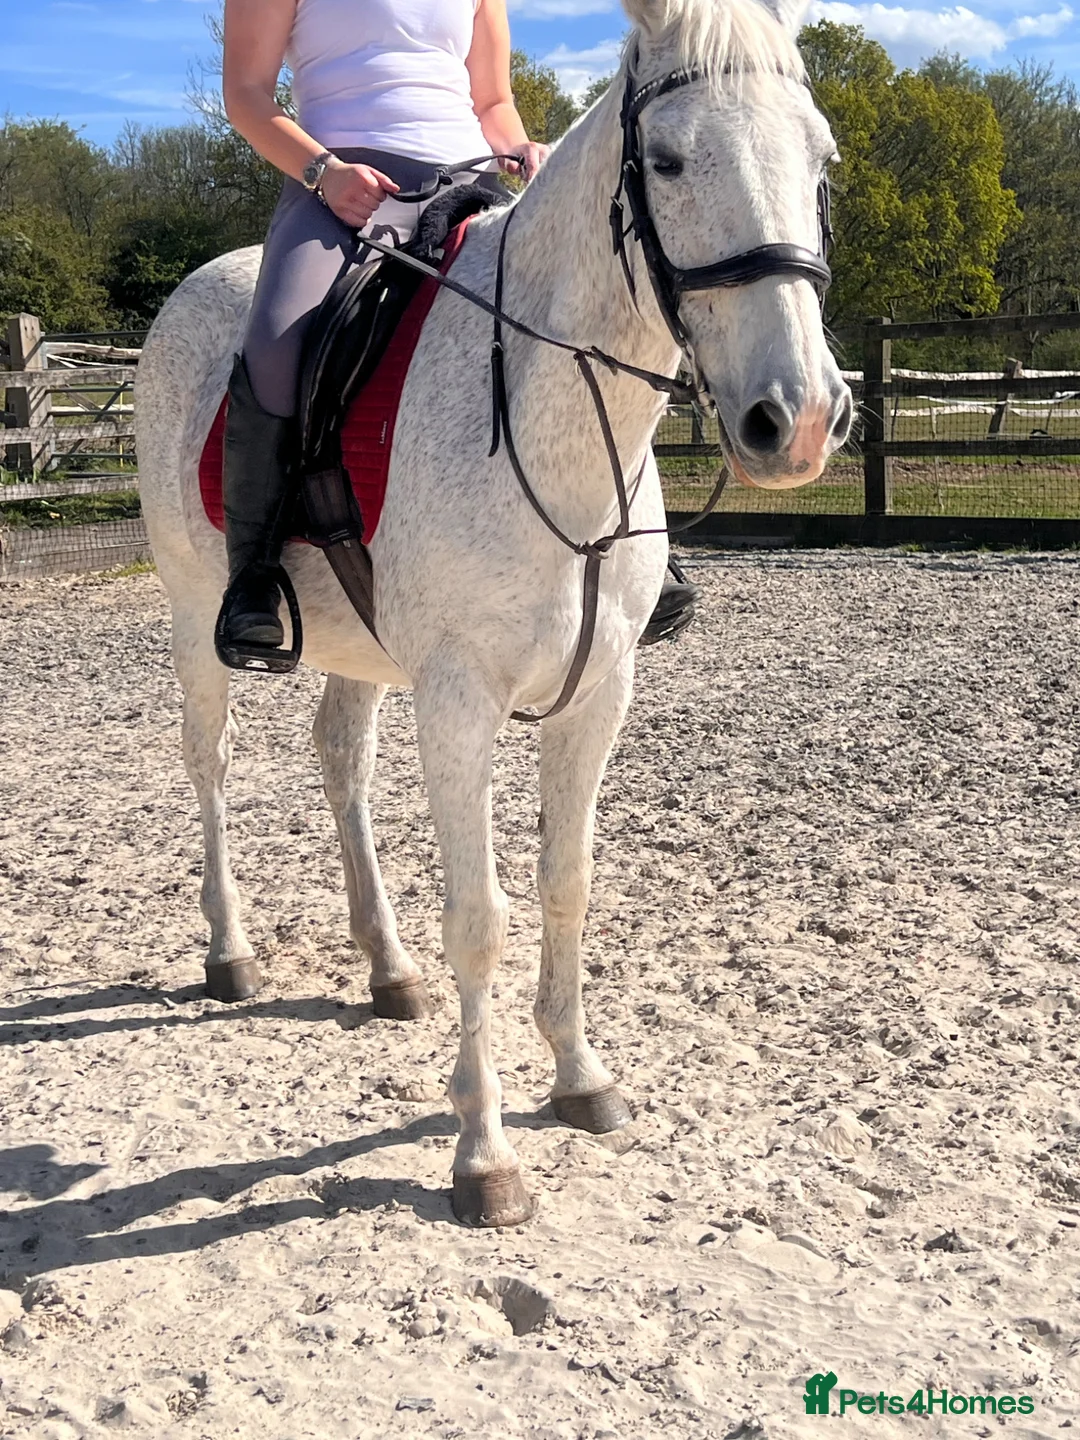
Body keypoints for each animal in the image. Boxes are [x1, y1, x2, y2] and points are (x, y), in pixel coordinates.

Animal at [136, 0, 852, 1227]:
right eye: (669, 161)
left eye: (821, 162)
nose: (796, 421)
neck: (545, 413)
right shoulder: (460, 702)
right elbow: (482, 920)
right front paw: (484, 1154)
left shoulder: (597, 696)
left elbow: (567, 888)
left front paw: (581, 1078)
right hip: (196, 616)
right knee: (210, 764)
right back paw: (230, 954)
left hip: (360, 653)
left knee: (340, 761)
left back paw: (387, 968)